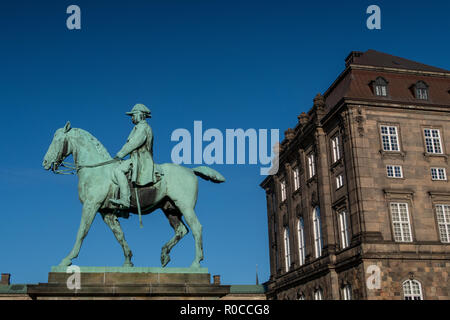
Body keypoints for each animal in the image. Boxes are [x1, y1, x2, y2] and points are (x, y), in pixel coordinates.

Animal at [42, 121, 225, 268]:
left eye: (57, 140)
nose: (45, 162)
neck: (97, 171)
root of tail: (190, 170)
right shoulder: (106, 212)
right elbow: (119, 235)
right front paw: (128, 261)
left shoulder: (91, 206)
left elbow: (82, 232)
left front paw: (67, 259)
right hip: (170, 209)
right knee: (181, 230)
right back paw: (164, 254)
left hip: (185, 207)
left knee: (196, 228)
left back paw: (196, 263)